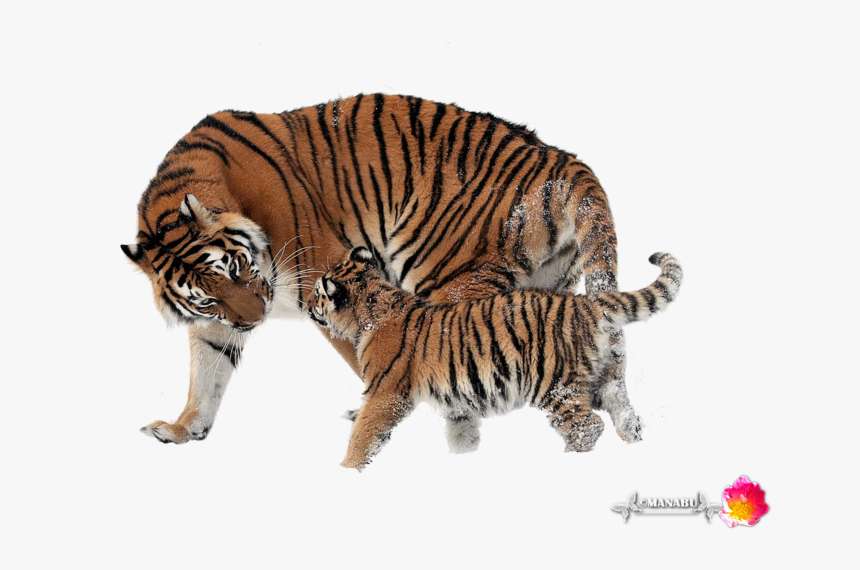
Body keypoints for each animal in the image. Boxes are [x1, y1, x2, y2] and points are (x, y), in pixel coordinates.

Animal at [122, 94, 640, 447]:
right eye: (207, 296)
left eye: (235, 268)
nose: (255, 320)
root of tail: (560, 158)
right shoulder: (217, 323)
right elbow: (206, 372)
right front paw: (183, 429)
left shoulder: (327, 280)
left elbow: (370, 358)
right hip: (547, 291)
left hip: (449, 280)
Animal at [310, 248, 682, 470]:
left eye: (317, 293)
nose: (310, 306)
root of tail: (584, 302)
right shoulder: (457, 402)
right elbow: (462, 435)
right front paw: (463, 463)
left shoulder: (386, 394)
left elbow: (364, 434)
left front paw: (347, 471)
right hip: (604, 380)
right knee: (627, 418)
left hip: (555, 385)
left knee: (586, 426)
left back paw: (565, 465)